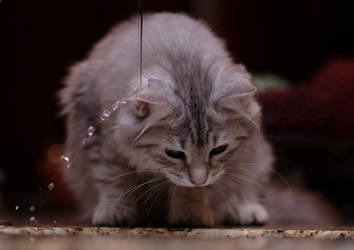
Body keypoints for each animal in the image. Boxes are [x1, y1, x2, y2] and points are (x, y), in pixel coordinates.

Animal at [58, 12, 274, 227]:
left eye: (219, 149)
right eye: (174, 153)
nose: (199, 180)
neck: (181, 57)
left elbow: (190, 190)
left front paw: (190, 214)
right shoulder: (100, 134)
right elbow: (113, 178)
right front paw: (114, 211)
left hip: (256, 158)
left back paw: (245, 210)